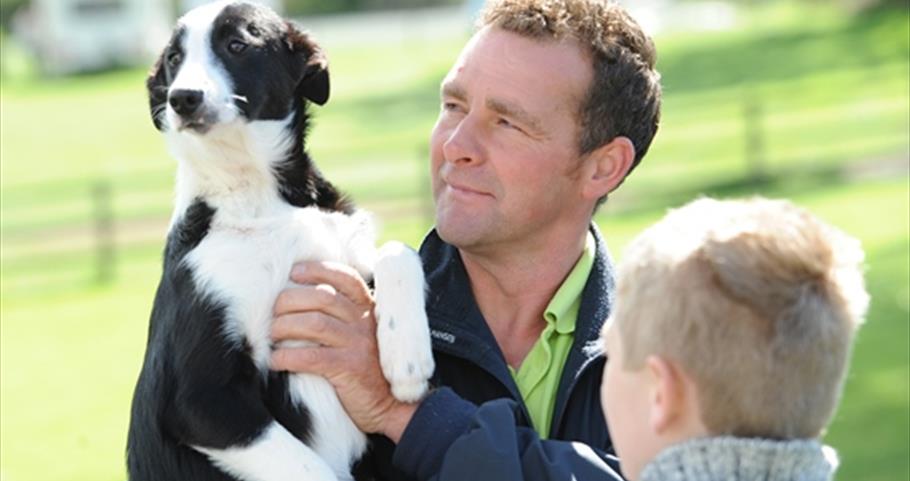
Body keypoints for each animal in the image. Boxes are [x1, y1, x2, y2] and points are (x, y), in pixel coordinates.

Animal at [127, 1, 434, 478]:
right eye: (174, 59)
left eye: (237, 45)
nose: (182, 98)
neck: (255, 193)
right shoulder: (199, 401)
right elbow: (314, 470)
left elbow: (397, 251)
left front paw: (407, 360)